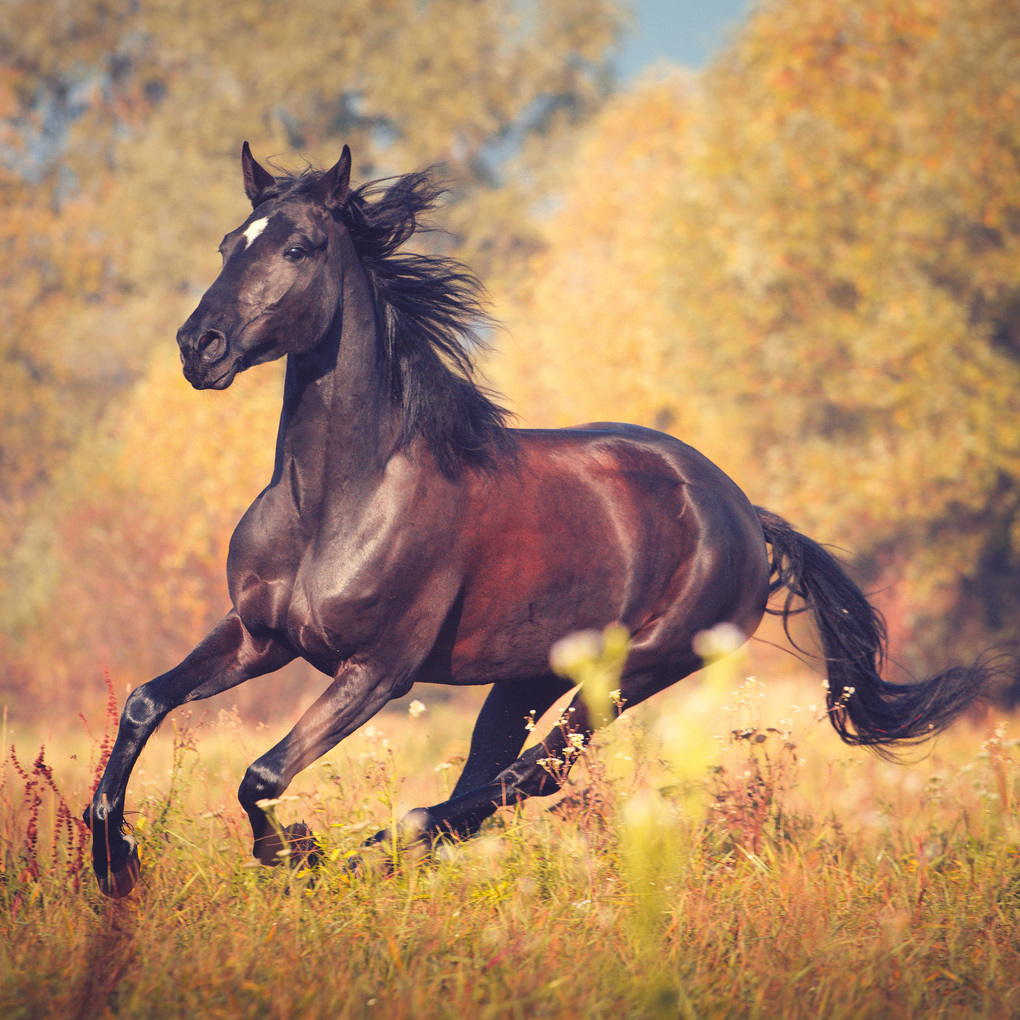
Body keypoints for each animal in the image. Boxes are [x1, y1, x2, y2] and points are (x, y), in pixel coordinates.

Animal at [85, 144, 999, 896]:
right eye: (227, 244)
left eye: (298, 248)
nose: (198, 346)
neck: (337, 501)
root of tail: (743, 511)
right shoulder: (258, 637)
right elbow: (144, 703)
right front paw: (113, 863)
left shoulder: (379, 668)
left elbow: (262, 776)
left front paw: (294, 854)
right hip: (525, 676)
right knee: (500, 776)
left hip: (633, 672)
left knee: (532, 776)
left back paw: (379, 846)